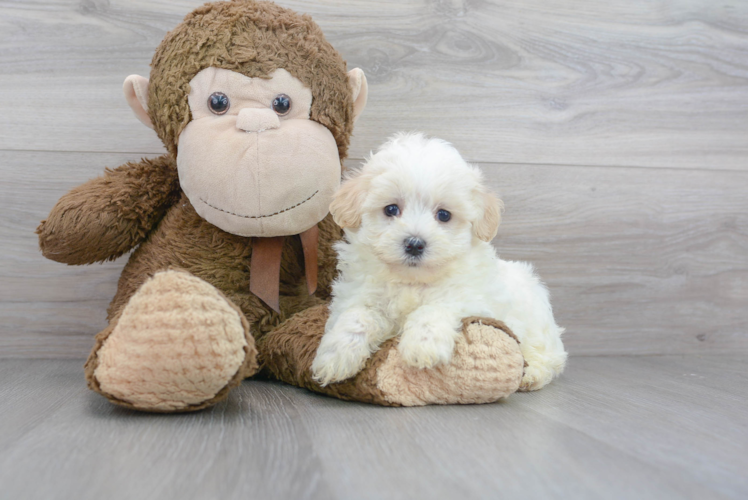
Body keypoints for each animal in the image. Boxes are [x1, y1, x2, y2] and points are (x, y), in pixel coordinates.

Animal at [312, 133, 568, 390]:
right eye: (391, 209)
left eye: (444, 215)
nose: (415, 244)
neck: (411, 281)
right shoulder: (358, 295)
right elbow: (356, 317)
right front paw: (334, 356)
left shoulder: (471, 298)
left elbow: (435, 307)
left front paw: (423, 345)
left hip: (538, 326)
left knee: (549, 356)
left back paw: (531, 374)